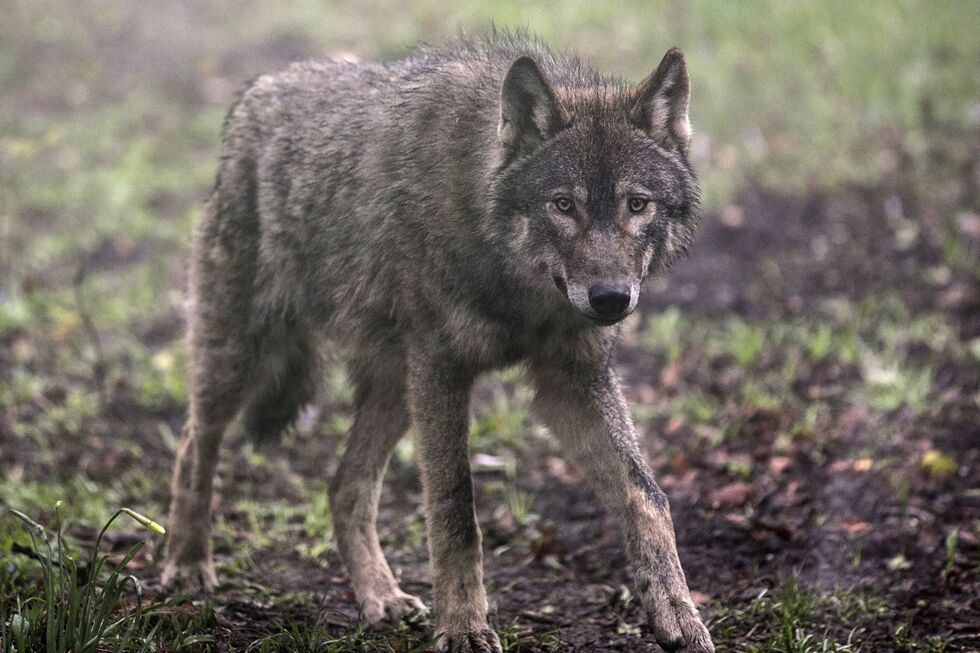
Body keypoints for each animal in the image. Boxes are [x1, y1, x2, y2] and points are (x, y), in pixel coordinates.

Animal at [161, 32, 713, 652]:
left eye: (636, 205)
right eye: (563, 205)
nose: (611, 299)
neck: (514, 286)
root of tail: (257, 89)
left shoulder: (571, 381)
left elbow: (648, 498)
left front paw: (678, 615)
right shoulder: (444, 371)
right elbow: (455, 514)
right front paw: (466, 628)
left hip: (396, 387)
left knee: (343, 486)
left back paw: (380, 596)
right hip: (243, 356)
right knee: (194, 443)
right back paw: (187, 565)